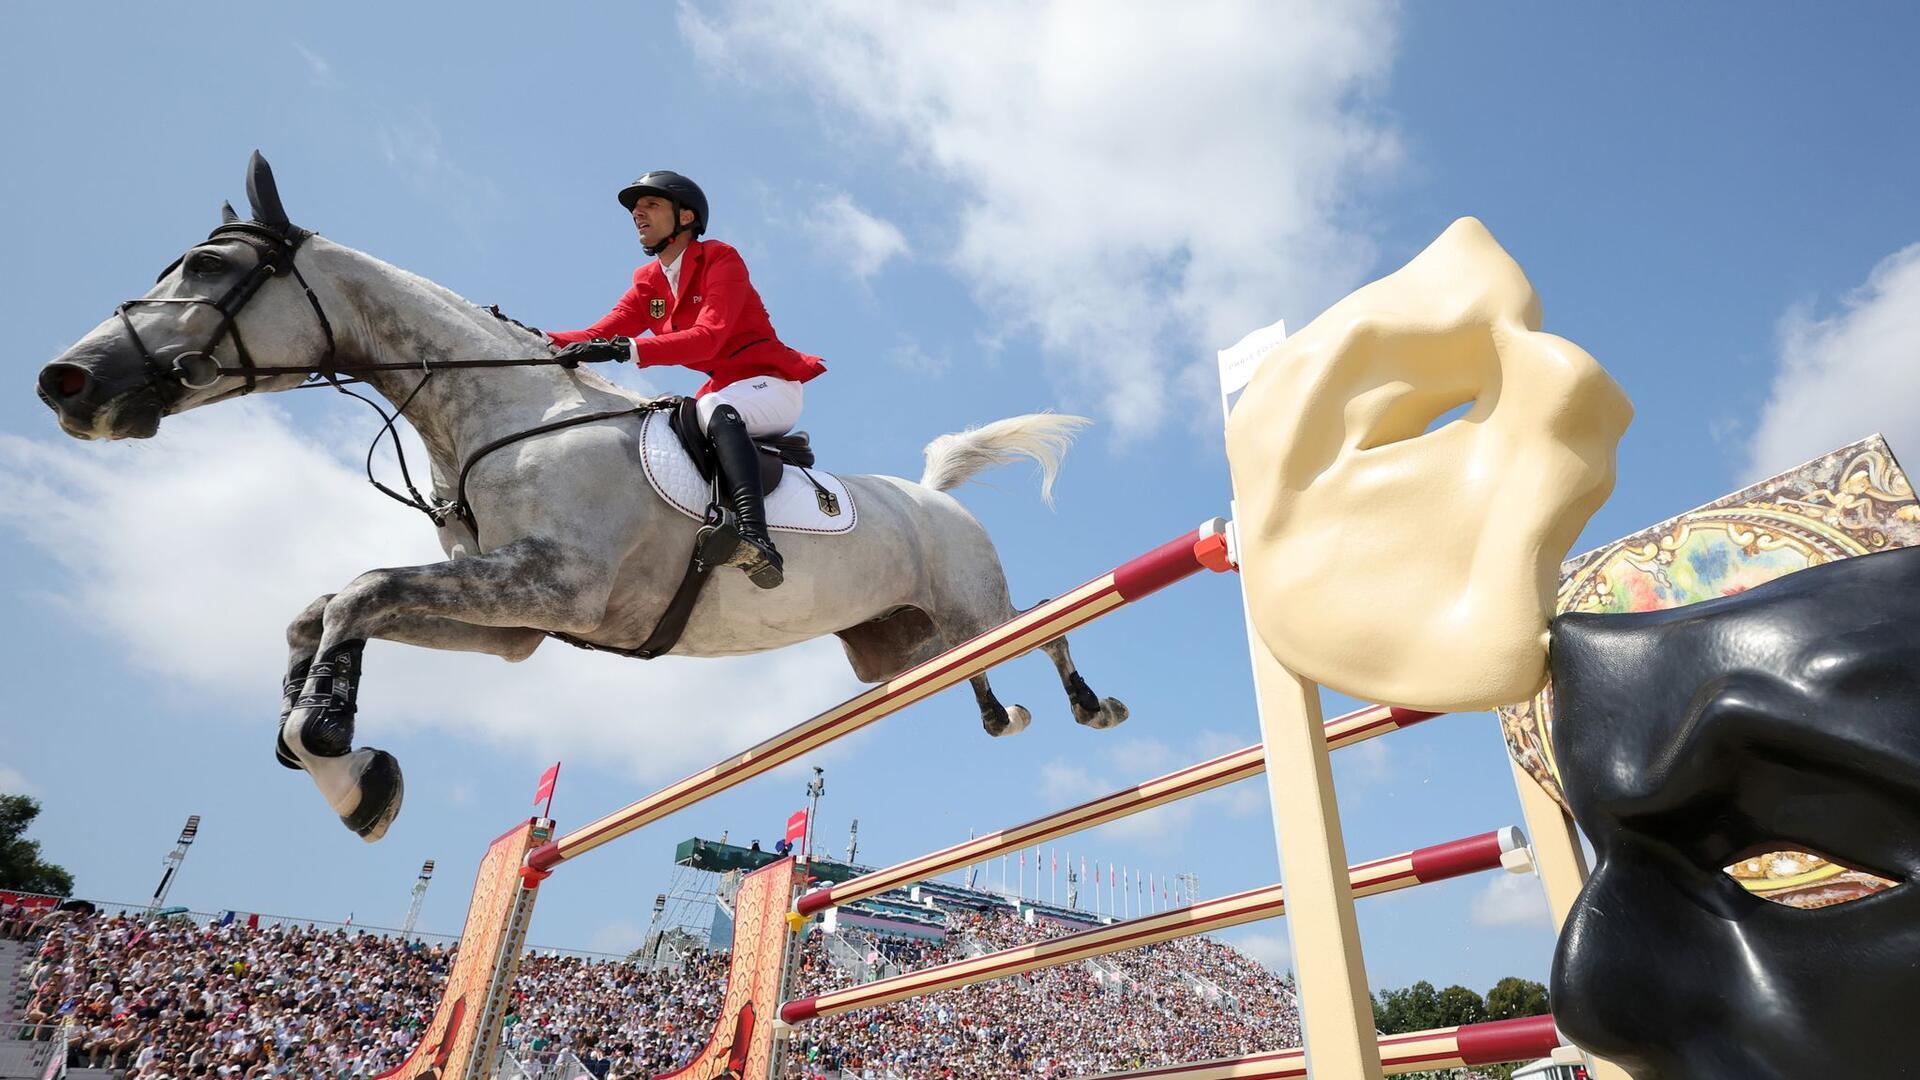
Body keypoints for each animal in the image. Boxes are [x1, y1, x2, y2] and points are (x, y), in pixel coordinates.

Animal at [33, 151, 1121, 841]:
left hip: (968, 595)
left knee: (1039, 620)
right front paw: (333, 751)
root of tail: (932, 496)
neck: (499, 416)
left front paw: (340, 758)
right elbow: (328, 607)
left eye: (210, 265)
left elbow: (363, 588)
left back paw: (1089, 702)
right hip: (891, 643)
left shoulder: (558, 585)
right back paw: (999, 714)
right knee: (968, 659)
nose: (66, 382)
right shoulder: (516, 616)